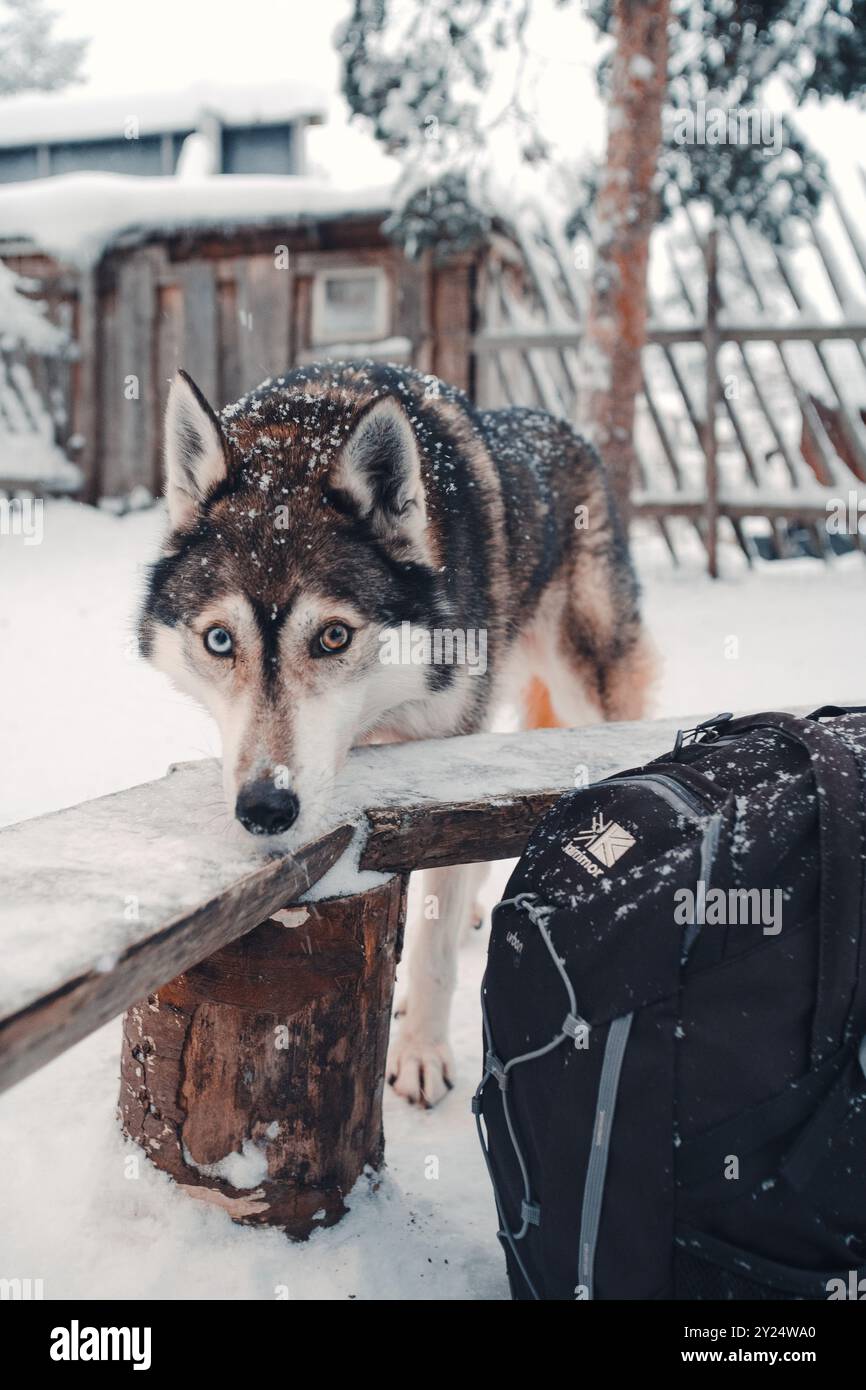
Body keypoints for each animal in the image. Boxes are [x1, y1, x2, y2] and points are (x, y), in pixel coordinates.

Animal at [139, 358, 653, 1106]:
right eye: (218, 640)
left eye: (333, 636)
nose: (264, 809)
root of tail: (560, 426)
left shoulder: (448, 749)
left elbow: (435, 940)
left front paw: (421, 1054)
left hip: (585, 686)